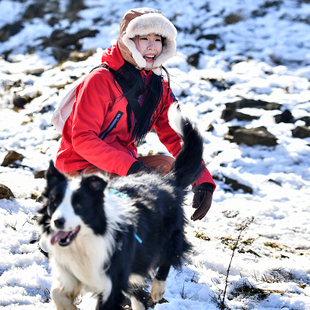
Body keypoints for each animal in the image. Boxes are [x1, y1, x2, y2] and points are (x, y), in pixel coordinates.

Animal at [37, 103, 205, 308]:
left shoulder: (112, 279)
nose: (58, 222)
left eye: (79, 205)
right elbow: (57, 294)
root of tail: (167, 180)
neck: (86, 240)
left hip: (167, 236)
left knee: (171, 256)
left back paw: (157, 289)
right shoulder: (74, 272)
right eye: (55, 202)